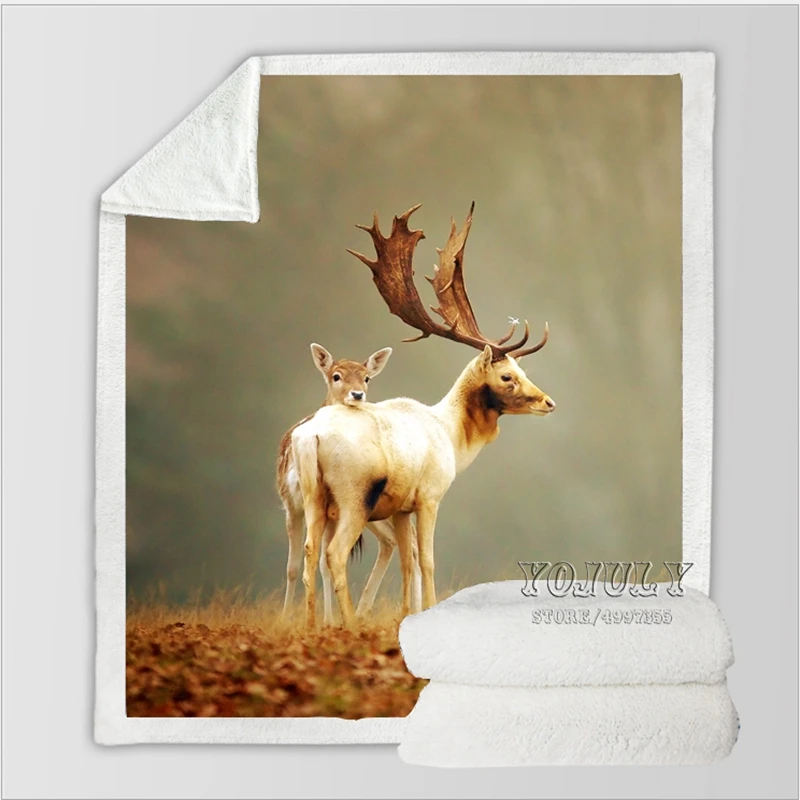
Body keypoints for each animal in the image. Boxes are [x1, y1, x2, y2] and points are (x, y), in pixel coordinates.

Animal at [277, 343, 422, 624]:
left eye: (366, 377)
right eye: (336, 376)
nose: (357, 394)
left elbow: (315, 563)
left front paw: (326, 621)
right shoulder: (291, 503)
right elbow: (294, 566)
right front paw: (294, 618)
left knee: (406, 545)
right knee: (396, 543)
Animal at [291, 202, 555, 629]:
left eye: (522, 369)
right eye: (507, 376)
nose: (548, 402)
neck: (450, 435)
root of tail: (309, 437)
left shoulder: (401, 507)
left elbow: (408, 562)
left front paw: (408, 614)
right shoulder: (430, 495)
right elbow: (427, 560)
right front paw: (429, 609)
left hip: (313, 496)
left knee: (309, 551)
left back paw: (313, 624)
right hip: (354, 496)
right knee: (334, 553)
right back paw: (350, 624)